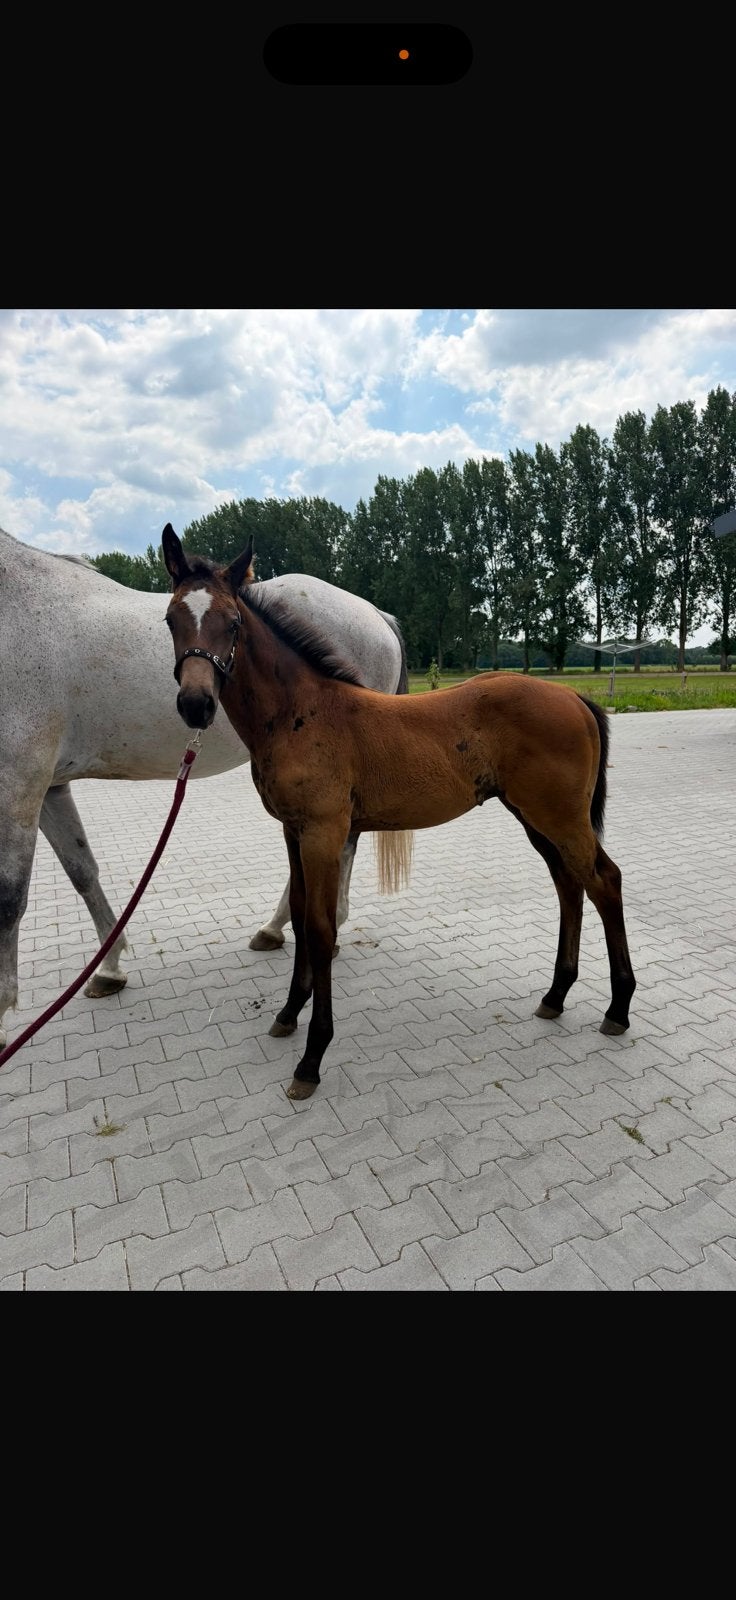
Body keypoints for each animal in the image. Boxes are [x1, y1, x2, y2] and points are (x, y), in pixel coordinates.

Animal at [0, 525, 409, 1047]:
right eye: (169, 621)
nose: (196, 705)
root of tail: (375, 613)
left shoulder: (19, 782)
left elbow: (9, 898)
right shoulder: (49, 786)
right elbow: (82, 871)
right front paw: (109, 968)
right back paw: (280, 927)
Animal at [162, 525, 637, 1101]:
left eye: (231, 622)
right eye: (171, 619)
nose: (196, 705)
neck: (301, 713)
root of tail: (576, 698)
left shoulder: (324, 832)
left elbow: (320, 928)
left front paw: (311, 1059)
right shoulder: (293, 831)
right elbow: (298, 912)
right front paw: (288, 1013)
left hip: (560, 816)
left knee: (605, 881)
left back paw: (618, 1008)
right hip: (535, 817)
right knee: (570, 885)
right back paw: (555, 995)